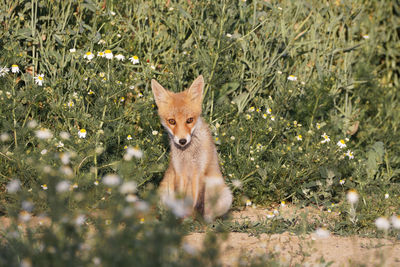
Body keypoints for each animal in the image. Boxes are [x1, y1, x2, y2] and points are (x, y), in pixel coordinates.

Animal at [151, 75, 233, 222]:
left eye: (189, 120)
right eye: (172, 121)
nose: (182, 141)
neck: (188, 154)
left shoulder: (200, 172)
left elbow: (198, 203)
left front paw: (195, 219)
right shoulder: (179, 172)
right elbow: (180, 200)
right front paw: (179, 219)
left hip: (225, 195)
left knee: (209, 214)